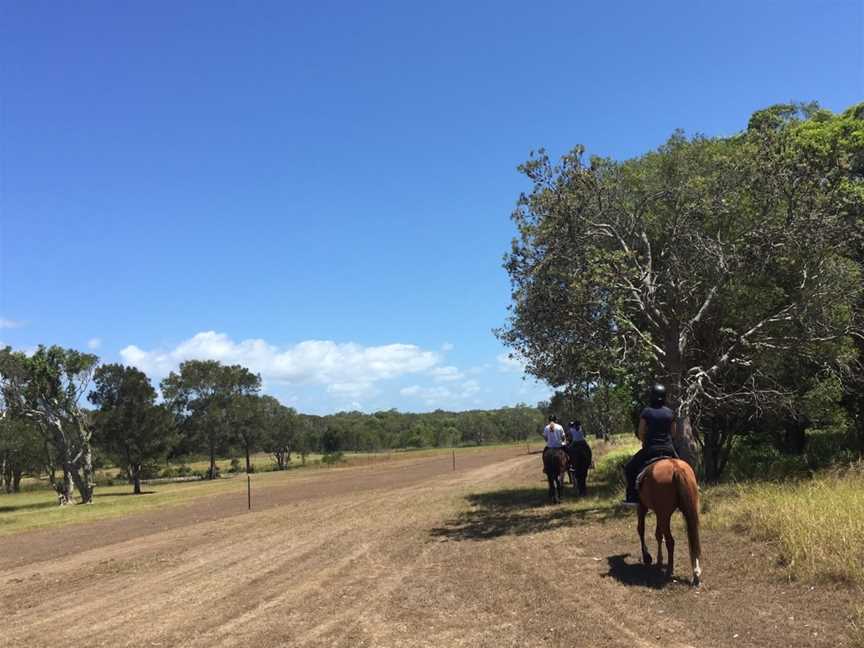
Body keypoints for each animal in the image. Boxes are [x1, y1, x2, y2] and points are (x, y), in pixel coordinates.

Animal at [636, 456, 704, 588]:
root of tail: (676, 467)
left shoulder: (642, 506)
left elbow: (642, 530)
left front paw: (648, 557)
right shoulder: (659, 513)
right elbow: (658, 534)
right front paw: (659, 559)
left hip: (664, 514)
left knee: (670, 541)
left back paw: (669, 570)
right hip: (689, 510)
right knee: (693, 539)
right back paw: (696, 573)